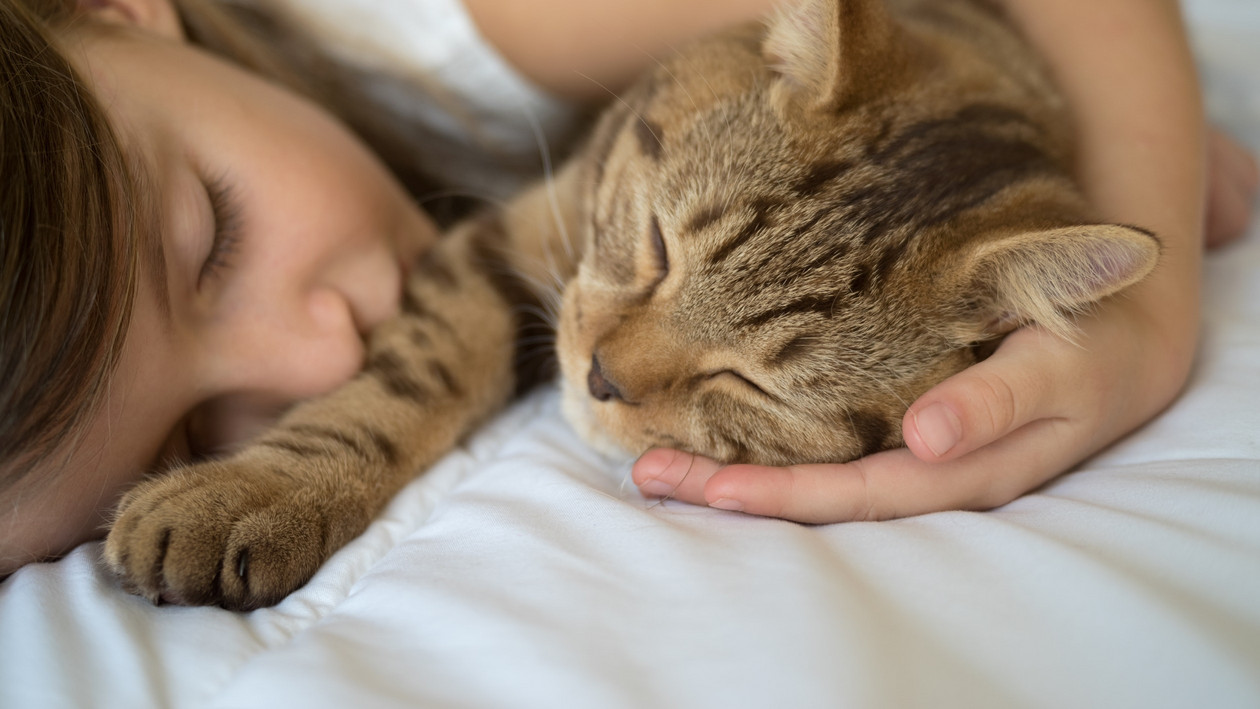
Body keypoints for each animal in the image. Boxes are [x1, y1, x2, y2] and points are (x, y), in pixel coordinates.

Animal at [103, 0, 1154, 609]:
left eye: (754, 385)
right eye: (656, 244)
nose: (600, 376)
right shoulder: (514, 235)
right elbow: (407, 381)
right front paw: (257, 492)